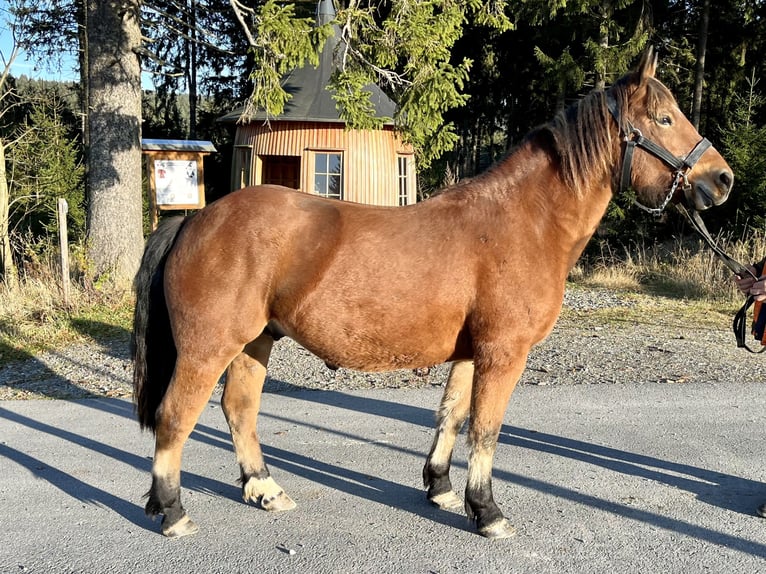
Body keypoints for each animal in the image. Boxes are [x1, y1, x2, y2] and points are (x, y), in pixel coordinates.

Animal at [134, 48, 736, 540]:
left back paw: (264, 488)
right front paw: (488, 512)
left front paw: (442, 489)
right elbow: (487, 430)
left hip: (255, 342)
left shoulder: (472, 353)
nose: (722, 179)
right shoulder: (503, 353)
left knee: (239, 408)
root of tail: (194, 220)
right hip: (207, 349)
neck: (522, 222)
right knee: (175, 417)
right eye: (664, 119)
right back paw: (172, 510)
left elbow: (452, 416)